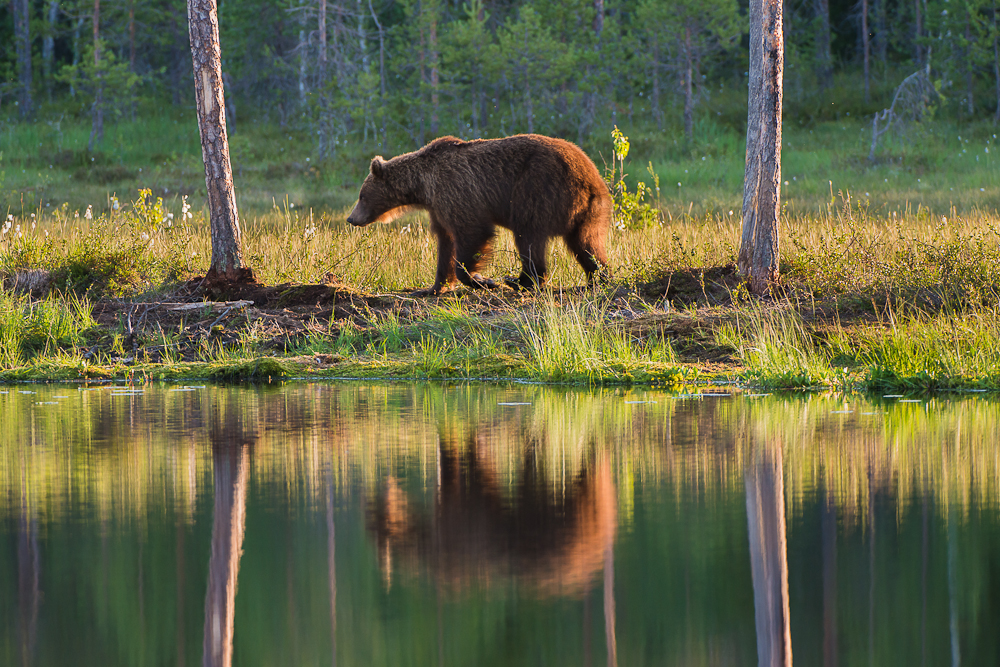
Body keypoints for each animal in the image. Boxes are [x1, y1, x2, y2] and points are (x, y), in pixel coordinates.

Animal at [346, 134, 608, 294]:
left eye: (361, 195)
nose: (351, 218)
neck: (422, 187)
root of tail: (589, 176)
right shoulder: (438, 207)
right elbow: (445, 243)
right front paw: (433, 287)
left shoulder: (457, 191)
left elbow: (471, 233)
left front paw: (482, 280)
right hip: (588, 212)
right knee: (586, 243)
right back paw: (598, 277)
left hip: (537, 189)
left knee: (528, 237)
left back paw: (520, 280)